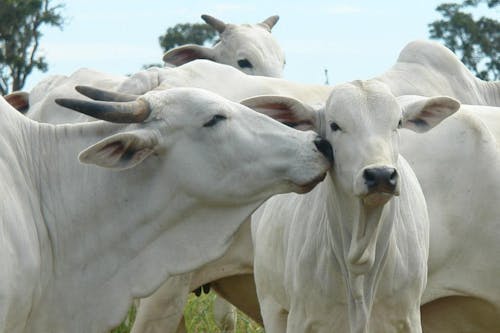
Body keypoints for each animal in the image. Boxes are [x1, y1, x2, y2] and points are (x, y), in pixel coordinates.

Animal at [250, 81, 460, 332]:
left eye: (398, 123)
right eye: (334, 125)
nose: (381, 175)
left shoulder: (409, 317)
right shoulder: (300, 318)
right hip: (270, 303)